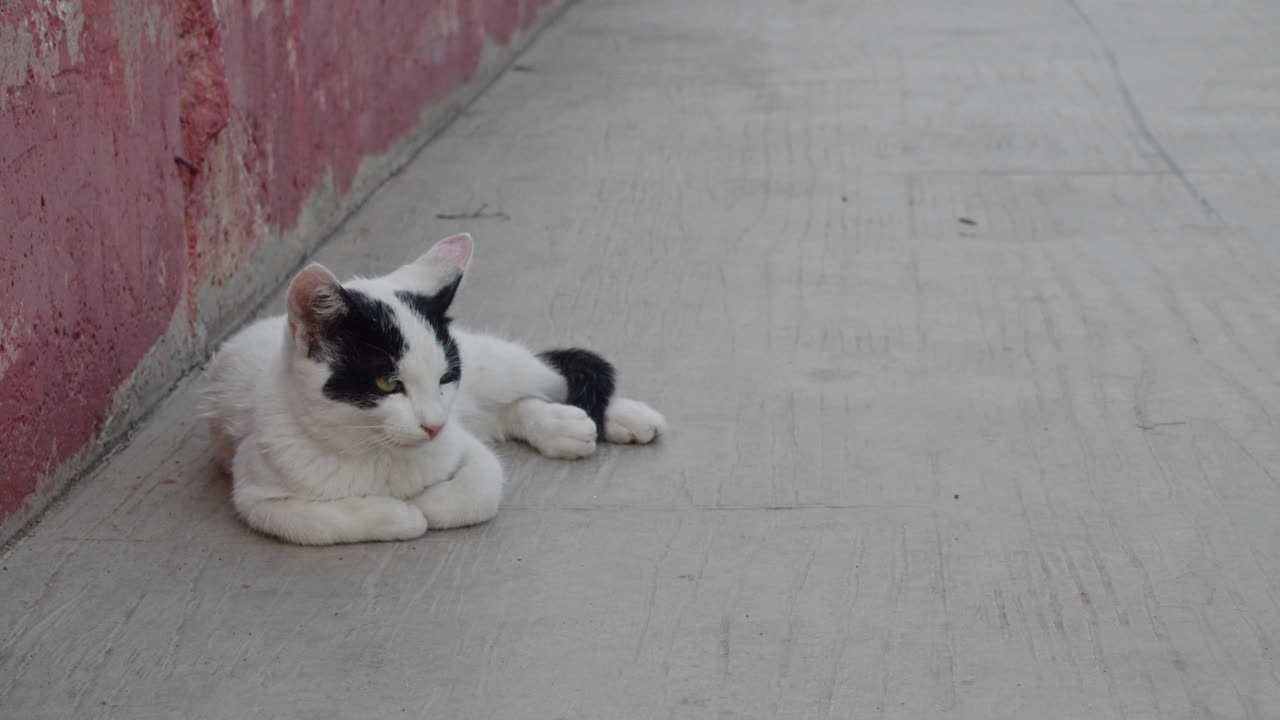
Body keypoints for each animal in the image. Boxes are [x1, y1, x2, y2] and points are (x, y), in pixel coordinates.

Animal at [204, 234, 665, 543]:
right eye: (387, 383)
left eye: (445, 378)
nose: (434, 425)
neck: (375, 451)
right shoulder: (257, 492)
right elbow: (318, 521)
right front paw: (401, 514)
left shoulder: (465, 445)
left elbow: (481, 487)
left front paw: (428, 504)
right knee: (510, 409)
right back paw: (562, 427)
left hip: (497, 366)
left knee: (550, 376)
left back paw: (619, 417)